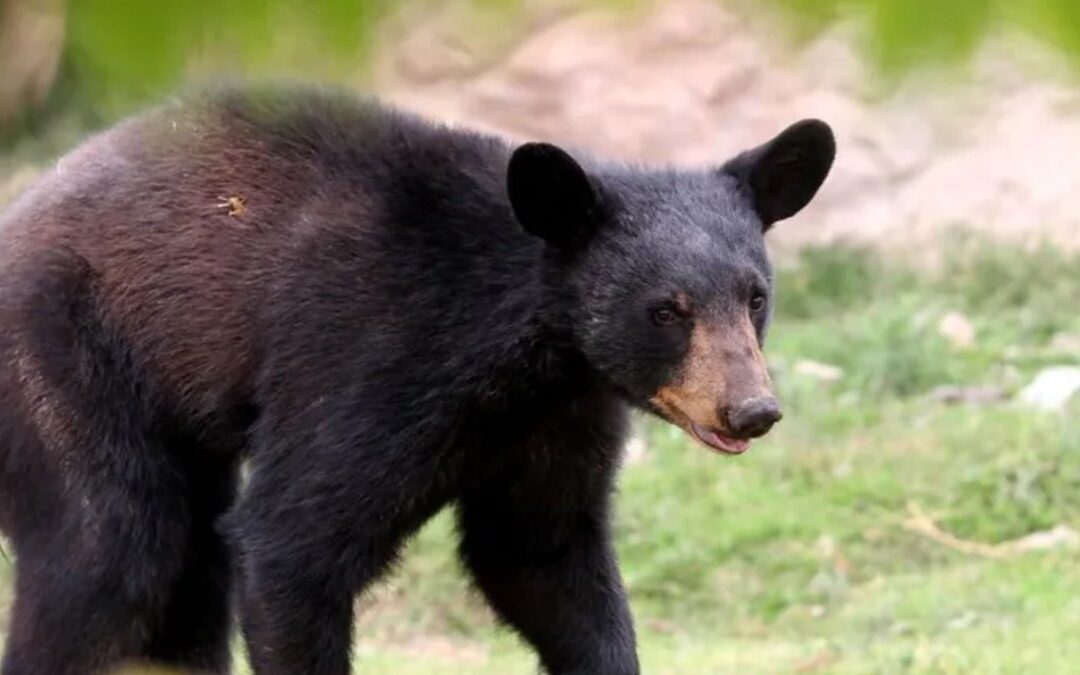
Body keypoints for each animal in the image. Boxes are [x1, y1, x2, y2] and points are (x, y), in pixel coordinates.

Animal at [0, 83, 835, 675]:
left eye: (754, 297)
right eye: (667, 309)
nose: (751, 410)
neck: (533, 350)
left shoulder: (559, 416)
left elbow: (540, 553)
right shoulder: (371, 358)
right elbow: (290, 539)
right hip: (63, 358)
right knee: (108, 548)